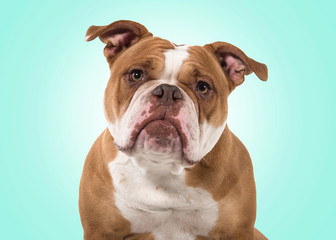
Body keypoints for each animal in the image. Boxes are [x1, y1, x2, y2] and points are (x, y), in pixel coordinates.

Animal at [79, 20, 268, 240]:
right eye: (136, 74)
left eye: (203, 87)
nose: (168, 91)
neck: (163, 166)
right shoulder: (100, 231)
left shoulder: (237, 232)